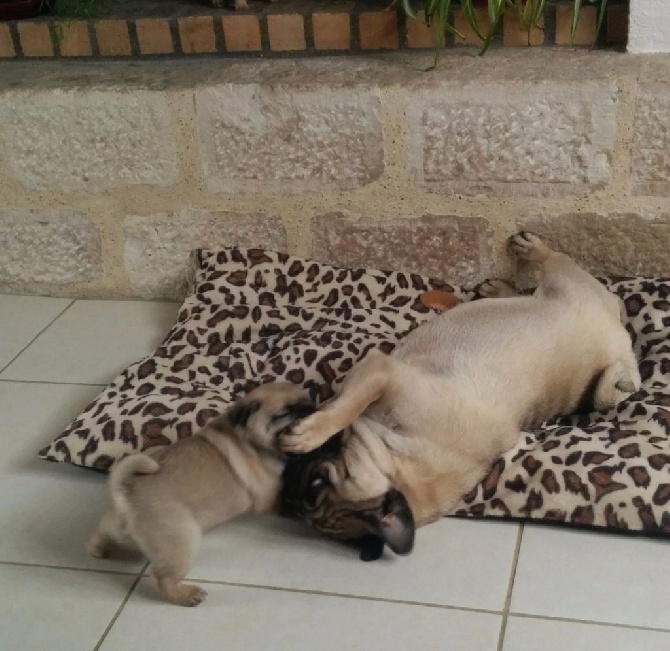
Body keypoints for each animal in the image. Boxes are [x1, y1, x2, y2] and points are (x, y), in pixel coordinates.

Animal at [86, 383, 314, 606]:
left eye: (308, 399)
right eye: (284, 414)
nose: (310, 409)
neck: (248, 440)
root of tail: (126, 497)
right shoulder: (272, 502)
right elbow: (289, 506)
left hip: (114, 525)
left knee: (101, 534)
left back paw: (98, 549)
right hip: (182, 540)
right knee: (164, 578)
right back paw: (188, 595)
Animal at [279, 233, 641, 560]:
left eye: (317, 483)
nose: (289, 483)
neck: (398, 458)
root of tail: (620, 345)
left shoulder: (382, 372)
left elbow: (347, 406)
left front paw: (309, 433)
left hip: (566, 282)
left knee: (555, 259)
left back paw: (532, 248)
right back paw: (500, 289)